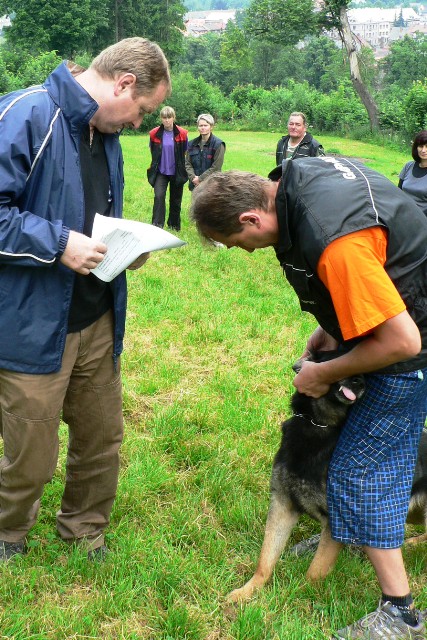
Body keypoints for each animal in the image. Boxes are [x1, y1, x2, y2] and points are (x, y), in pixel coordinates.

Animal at [229, 352, 427, 604]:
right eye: (336, 355)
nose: (360, 383)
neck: (320, 425)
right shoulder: (283, 505)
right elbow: (265, 559)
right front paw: (247, 591)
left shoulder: (335, 521)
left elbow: (315, 571)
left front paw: (299, 600)